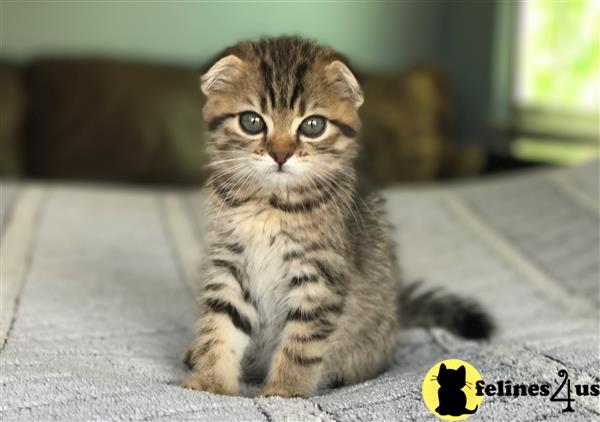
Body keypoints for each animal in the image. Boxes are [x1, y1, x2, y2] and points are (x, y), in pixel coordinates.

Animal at [181, 36, 494, 398]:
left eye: (313, 125)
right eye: (252, 121)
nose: (280, 155)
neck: (270, 205)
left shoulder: (318, 278)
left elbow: (301, 345)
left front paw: (285, 391)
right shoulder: (229, 264)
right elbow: (218, 327)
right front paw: (210, 382)